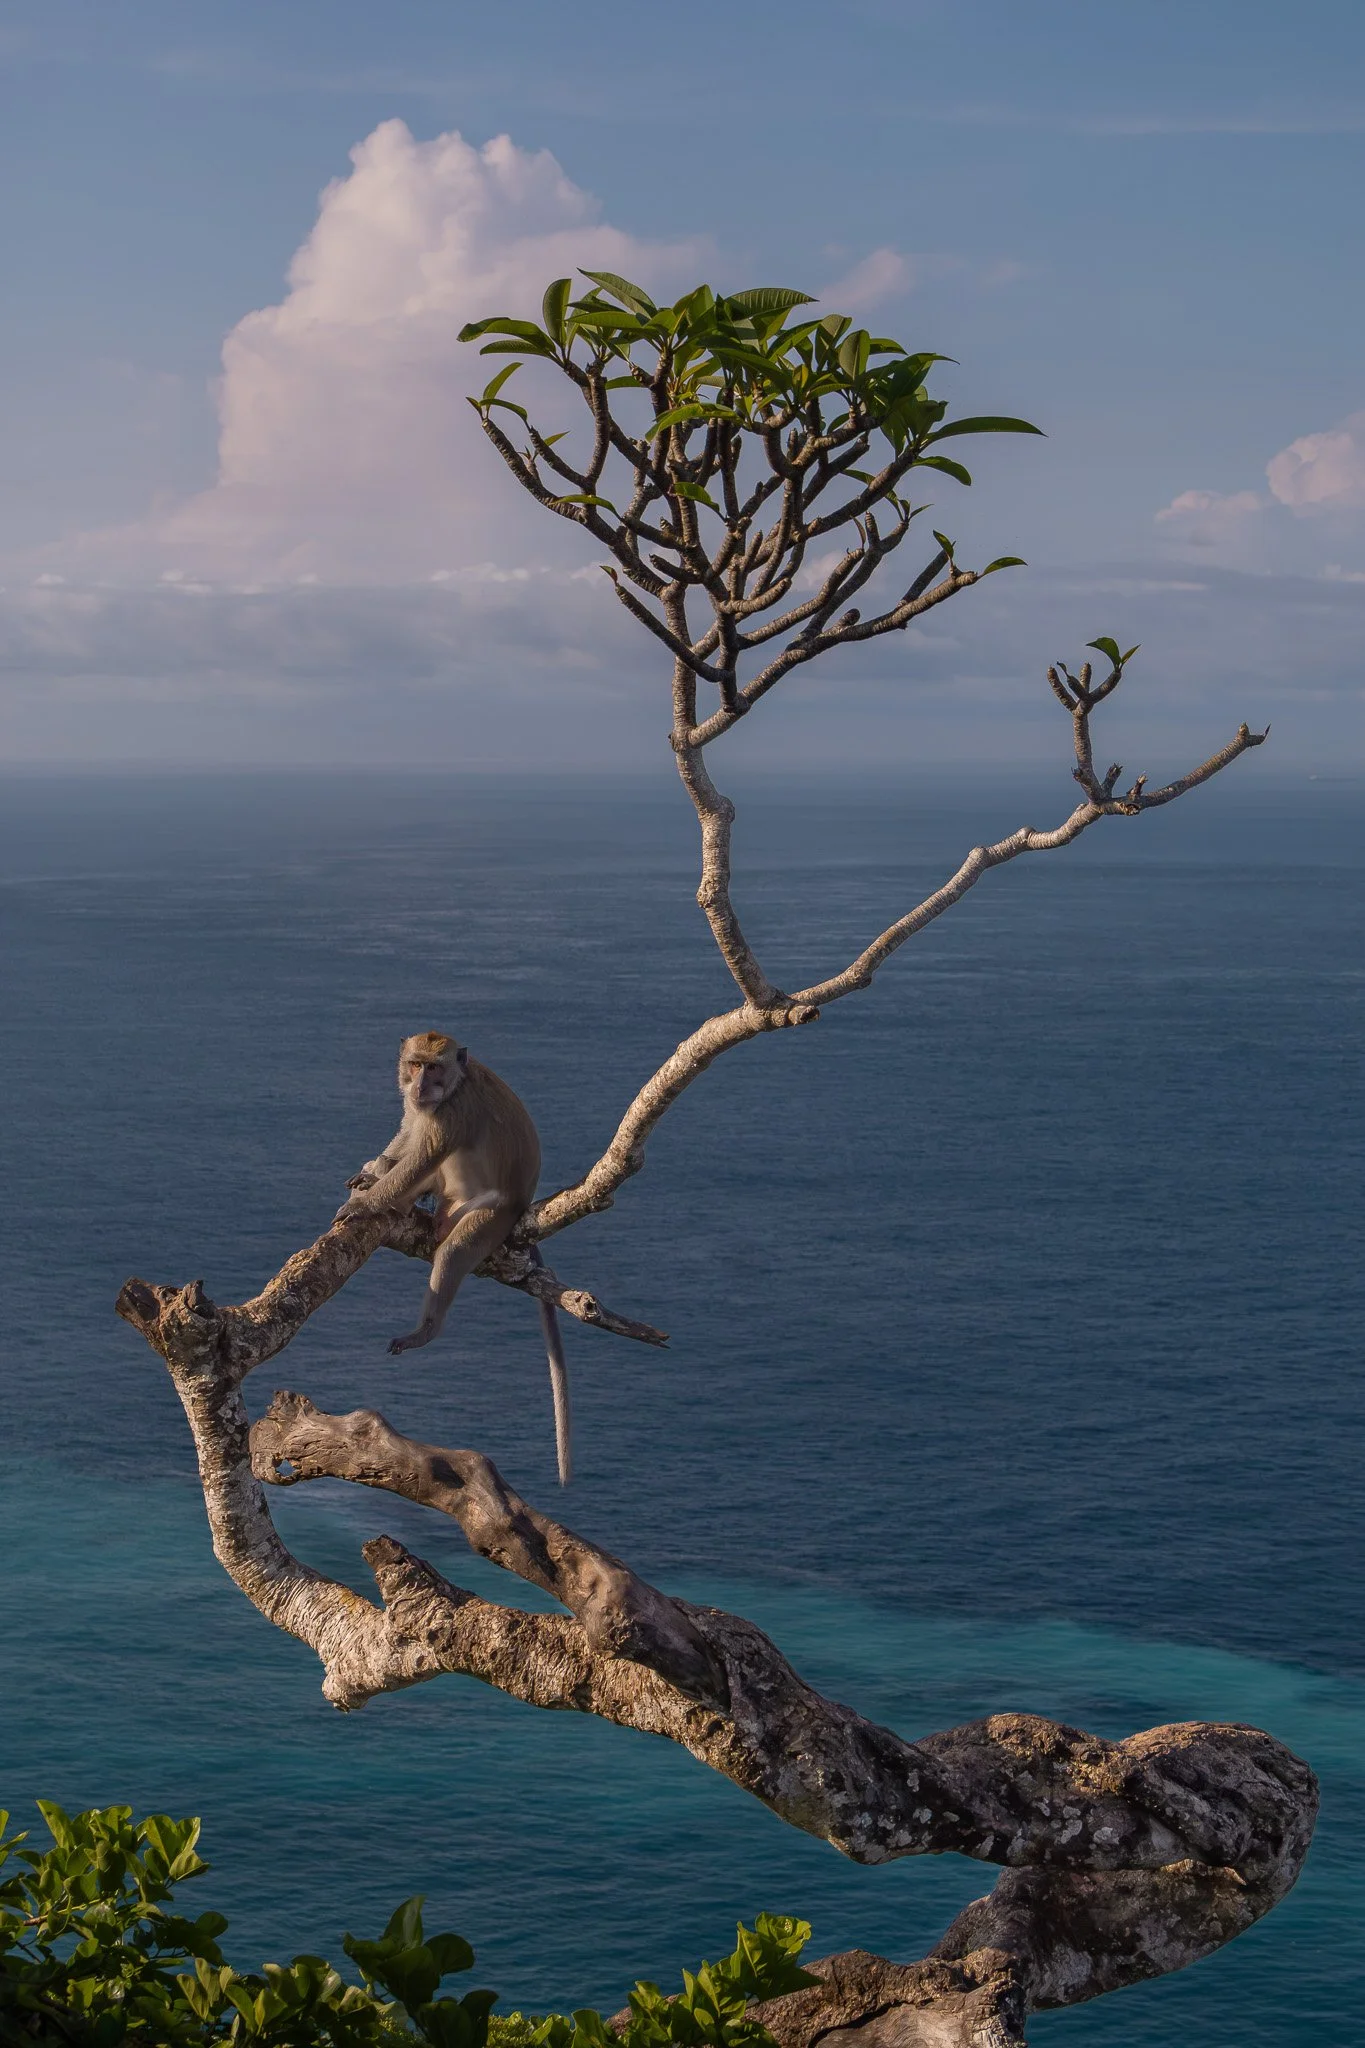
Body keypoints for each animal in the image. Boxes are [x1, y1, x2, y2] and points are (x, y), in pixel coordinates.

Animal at [334, 1030, 572, 1484]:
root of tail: (522, 1205)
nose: (420, 1085)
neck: (455, 1086)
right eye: (414, 1064)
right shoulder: (422, 1108)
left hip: (490, 1217)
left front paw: (364, 1204)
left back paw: (426, 1330)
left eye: (434, 1067)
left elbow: (420, 1158)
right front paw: (374, 1171)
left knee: (454, 1250)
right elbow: (408, 1136)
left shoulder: (452, 1114)